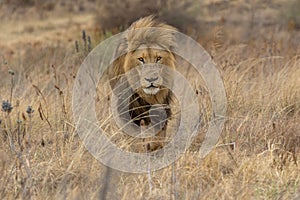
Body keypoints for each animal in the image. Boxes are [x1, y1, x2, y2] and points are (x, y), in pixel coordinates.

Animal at [107, 16, 178, 152]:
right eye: (141, 59)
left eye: (158, 58)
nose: (152, 79)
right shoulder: (132, 112)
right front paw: (141, 149)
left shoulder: (161, 107)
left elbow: (159, 135)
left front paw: (155, 147)